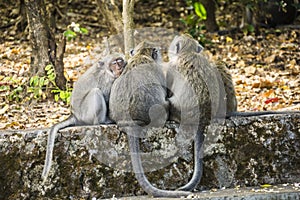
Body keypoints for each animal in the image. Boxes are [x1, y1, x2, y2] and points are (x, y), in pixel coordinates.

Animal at [41, 52, 126, 182]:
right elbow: (106, 97)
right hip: (86, 114)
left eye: (119, 61)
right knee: (95, 92)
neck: (108, 70)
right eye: (115, 63)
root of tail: (74, 114)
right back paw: (102, 121)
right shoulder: (108, 80)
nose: (119, 67)